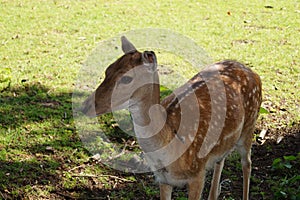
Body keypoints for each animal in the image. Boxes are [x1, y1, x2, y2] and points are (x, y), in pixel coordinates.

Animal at [81, 36, 262, 200]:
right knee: (221, 160)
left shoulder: (197, 173)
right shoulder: (163, 179)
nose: (85, 106)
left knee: (247, 163)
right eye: (107, 70)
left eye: (127, 78)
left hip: (250, 125)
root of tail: (252, 72)